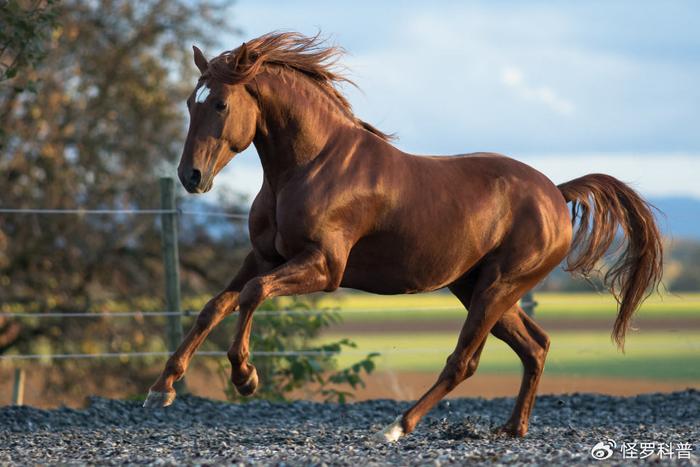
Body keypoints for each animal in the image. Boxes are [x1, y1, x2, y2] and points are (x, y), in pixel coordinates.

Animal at [142, 31, 660, 440]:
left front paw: (245, 377)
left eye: (221, 104)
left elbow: (251, 295)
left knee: (465, 361)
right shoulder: (263, 257)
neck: (310, 166)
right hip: (478, 286)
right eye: (189, 103)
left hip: (498, 287)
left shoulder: (324, 268)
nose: (191, 176)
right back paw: (512, 429)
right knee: (535, 346)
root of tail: (555, 191)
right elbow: (215, 305)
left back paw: (396, 427)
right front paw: (161, 388)